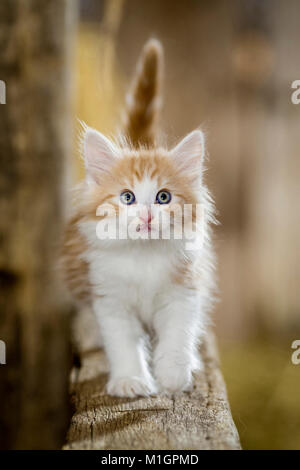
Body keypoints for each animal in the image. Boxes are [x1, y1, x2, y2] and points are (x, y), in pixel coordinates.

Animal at [62, 38, 216, 396]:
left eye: (163, 197)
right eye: (127, 197)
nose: (146, 217)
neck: (143, 255)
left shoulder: (184, 289)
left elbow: (177, 334)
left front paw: (173, 375)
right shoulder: (109, 298)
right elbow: (122, 343)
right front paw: (130, 380)